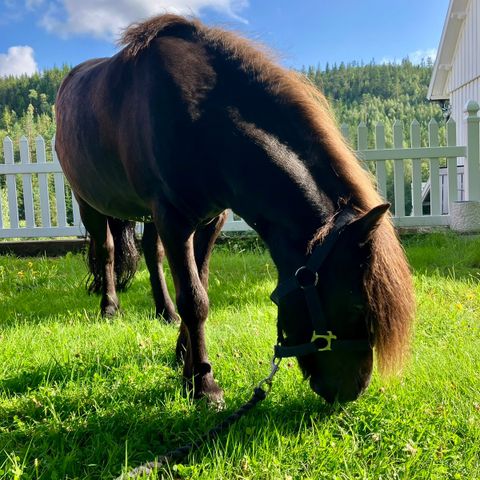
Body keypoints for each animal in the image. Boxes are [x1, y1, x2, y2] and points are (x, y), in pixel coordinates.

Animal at [55, 15, 412, 404]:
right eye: (356, 306)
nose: (353, 389)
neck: (203, 121)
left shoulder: (210, 220)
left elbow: (199, 283)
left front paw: (184, 357)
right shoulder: (174, 220)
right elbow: (194, 300)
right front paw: (203, 383)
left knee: (151, 252)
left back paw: (163, 312)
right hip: (88, 202)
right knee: (106, 251)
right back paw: (109, 307)